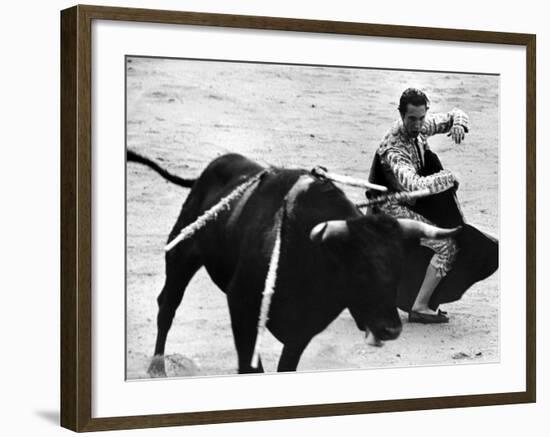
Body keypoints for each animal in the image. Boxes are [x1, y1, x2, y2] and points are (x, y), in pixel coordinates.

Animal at [129, 151, 478, 374]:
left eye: (399, 270)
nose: (390, 329)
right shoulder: (241, 305)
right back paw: (157, 366)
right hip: (181, 253)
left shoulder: (304, 329)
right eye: (359, 270)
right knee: (167, 305)